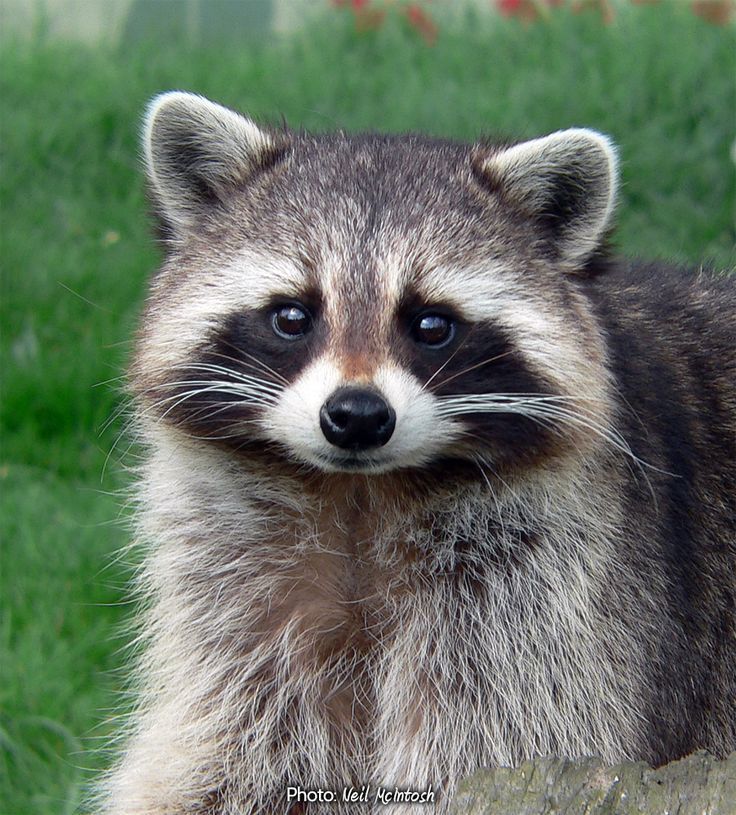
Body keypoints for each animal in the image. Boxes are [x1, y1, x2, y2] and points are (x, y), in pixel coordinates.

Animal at [99, 92, 736, 814]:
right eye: (292, 316)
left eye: (431, 324)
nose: (356, 417)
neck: (359, 495)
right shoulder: (236, 597)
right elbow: (236, 750)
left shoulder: (543, 601)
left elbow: (496, 737)